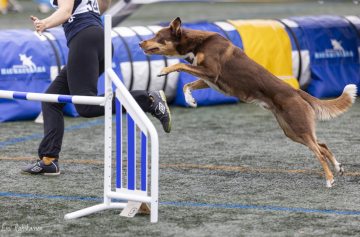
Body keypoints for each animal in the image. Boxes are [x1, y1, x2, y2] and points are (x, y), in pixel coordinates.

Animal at [139, 17, 356, 187]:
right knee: (322, 145)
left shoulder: (212, 73)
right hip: (291, 131)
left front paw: (163, 70)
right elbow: (187, 84)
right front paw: (190, 101)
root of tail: (295, 90)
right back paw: (338, 168)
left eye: (157, 35)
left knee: (319, 152)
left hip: (298, 126)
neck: (198, 43)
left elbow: (179, 65)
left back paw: (329, 179)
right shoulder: (210, 80)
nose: (140, 43)